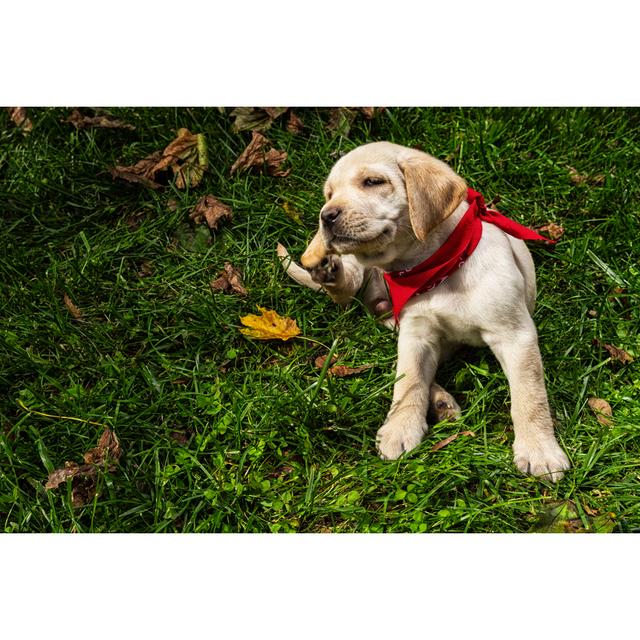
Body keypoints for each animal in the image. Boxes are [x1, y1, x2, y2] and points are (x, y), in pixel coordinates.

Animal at [280, 140, 568, 480]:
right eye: (329, 193)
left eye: (373, 182)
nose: (326, 216)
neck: (436, 268)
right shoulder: (417, 334)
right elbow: (409, 381)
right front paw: (399, 429)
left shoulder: (515, 335)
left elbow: (530, 394)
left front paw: (539, 450)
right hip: (366, 285)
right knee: (345, 290)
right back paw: (328, 270)